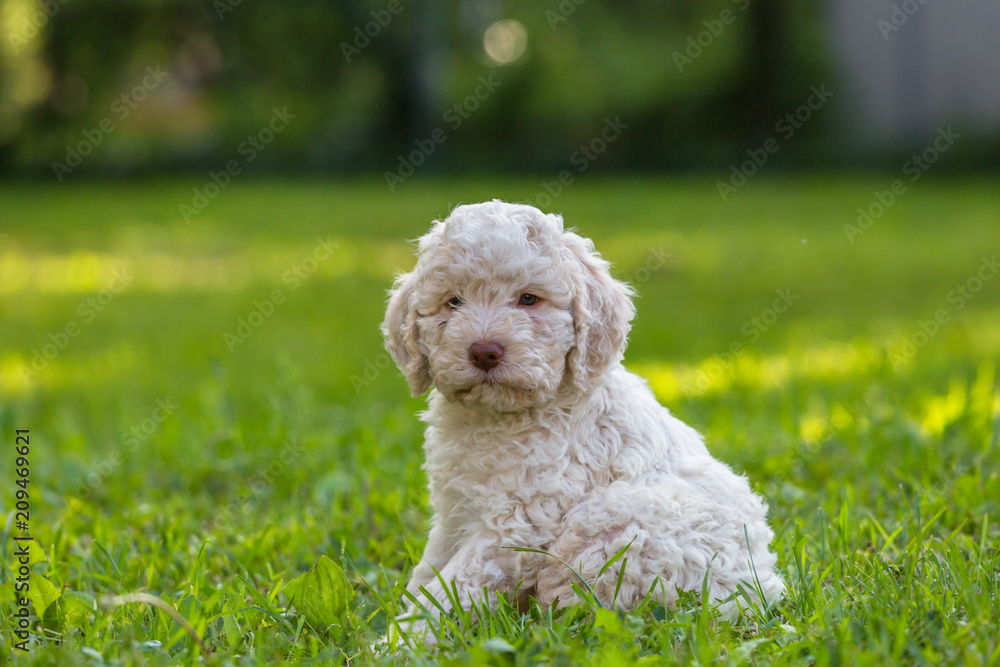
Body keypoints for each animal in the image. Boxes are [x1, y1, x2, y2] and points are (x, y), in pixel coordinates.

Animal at [380, 200, 780, 636]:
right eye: (453, 302)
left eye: (529, 299)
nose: (484, 351)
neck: (500, 416)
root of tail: (762, 593)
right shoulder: (454, 511)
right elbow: (429, 572)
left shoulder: (518, 521)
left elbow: (453, 585)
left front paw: (404, 641)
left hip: (617, 518)